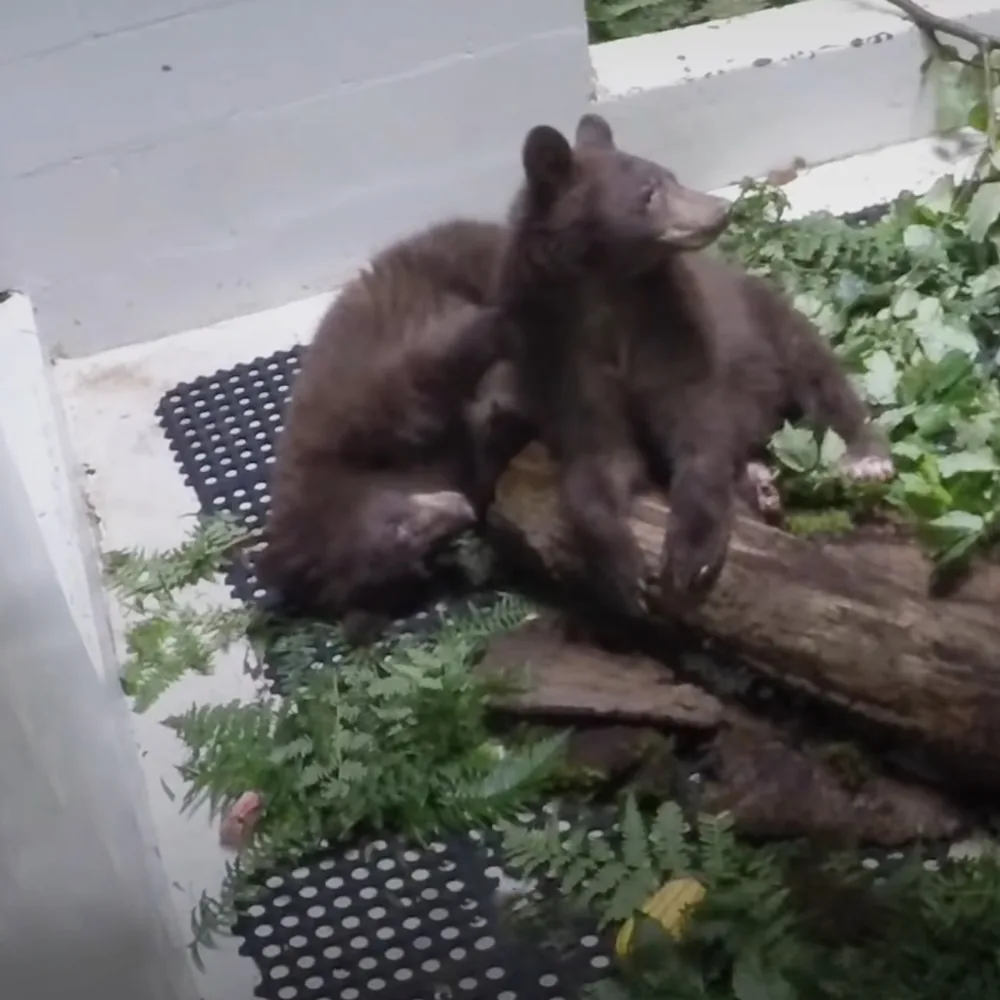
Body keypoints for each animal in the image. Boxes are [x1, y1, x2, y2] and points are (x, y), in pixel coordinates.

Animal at [493, 112, 894, 619]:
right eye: (648, 193)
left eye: (671, 176)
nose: (720, 209)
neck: (604, 295)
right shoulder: (559, 355)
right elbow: (598, 456)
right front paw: (624, 571)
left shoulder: (669, 326)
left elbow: (696, 425)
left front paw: (690, 558)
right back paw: (759, 482)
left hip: (771, 321)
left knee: (819, 375)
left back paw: (865, 459)